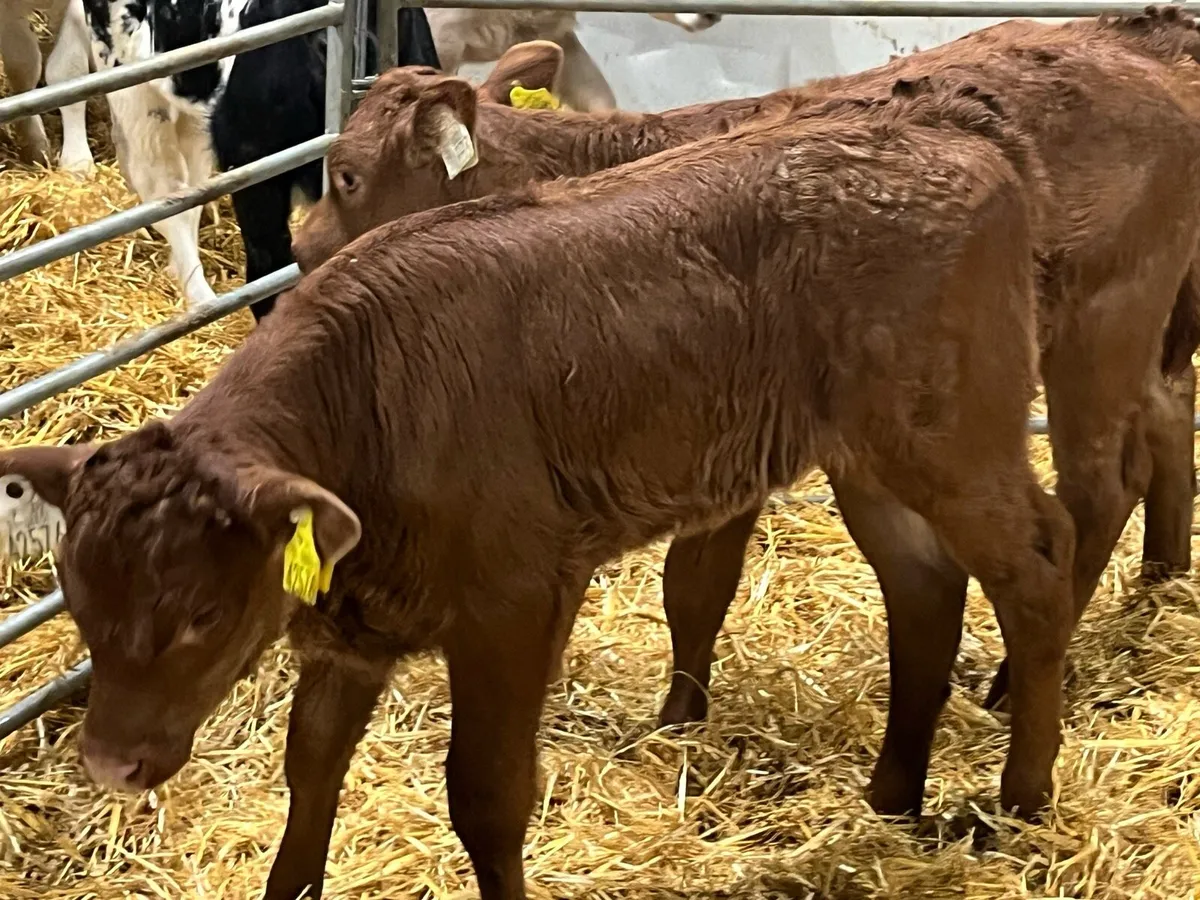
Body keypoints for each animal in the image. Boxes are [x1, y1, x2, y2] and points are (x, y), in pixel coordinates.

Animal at [0, 85, 1073, 899]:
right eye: (82, 607)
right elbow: (312, 771)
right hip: (869, 459)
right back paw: (893, 793)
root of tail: (955, 135)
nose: (109, 765)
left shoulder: (515, 601)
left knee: (1037, 564)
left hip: (958, 437)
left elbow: (486, 796)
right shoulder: (351, 629)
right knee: (924, 586)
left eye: (204, 614)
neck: (370, 400)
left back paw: (1022, 799)